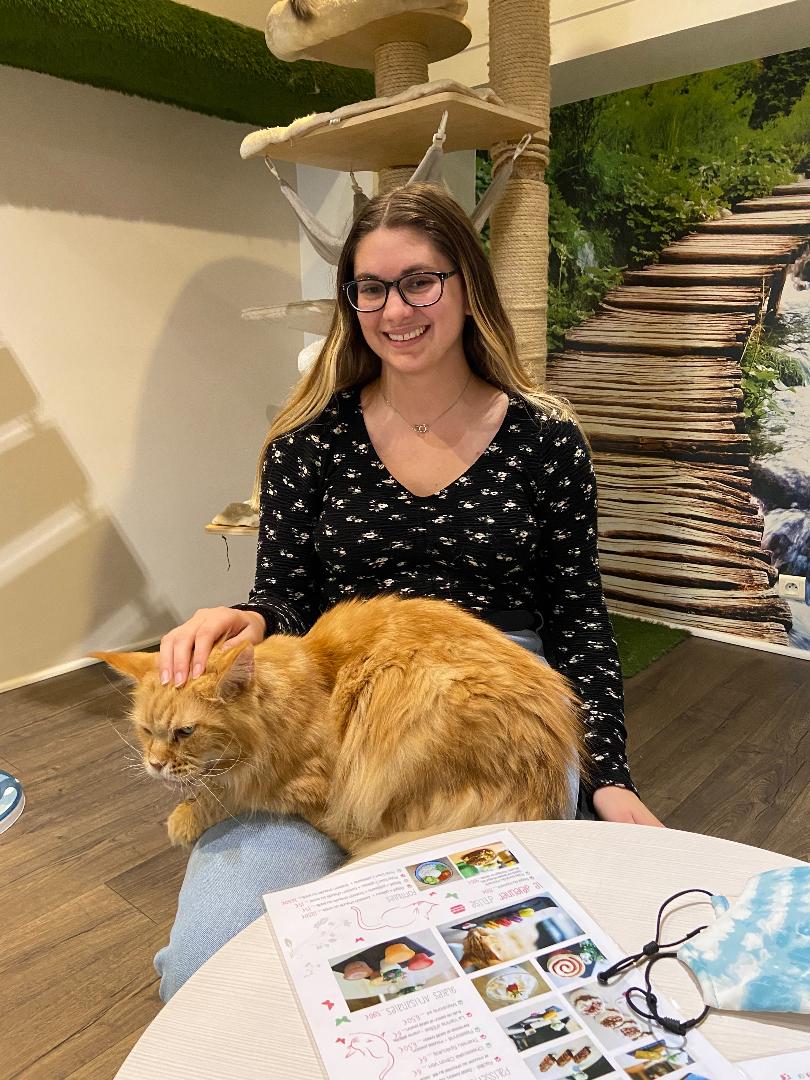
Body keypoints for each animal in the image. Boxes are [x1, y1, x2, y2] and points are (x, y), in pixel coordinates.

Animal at [96, 591, 583, 851]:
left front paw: (186, 816)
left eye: (185, 732)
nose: (155, 764)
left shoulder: (301, 782)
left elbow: (233, 794)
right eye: (146, 731)